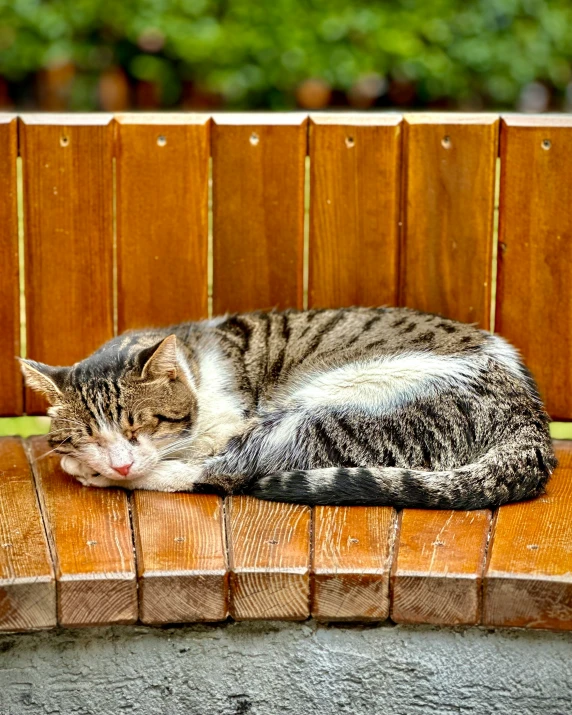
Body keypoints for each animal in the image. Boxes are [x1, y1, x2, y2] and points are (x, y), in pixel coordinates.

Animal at [20, 306, 556, 510]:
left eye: (141, 427)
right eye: (89, 435)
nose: (119, 461)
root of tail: (530, 418)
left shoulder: (228, 422)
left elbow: (195, 455)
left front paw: (93, 468)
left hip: (333, 410)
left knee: (234, 470)